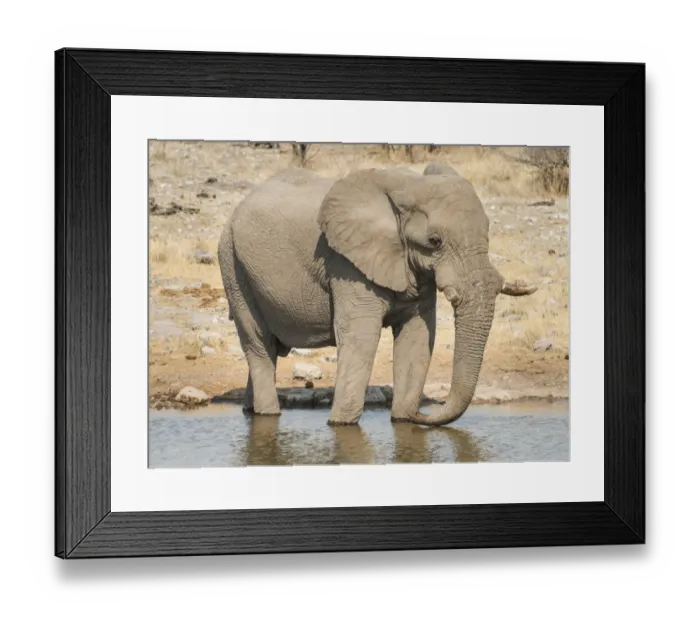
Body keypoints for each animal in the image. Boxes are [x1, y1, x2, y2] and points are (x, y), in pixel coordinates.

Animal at [218, 163, 536, 427]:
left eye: (488, 233)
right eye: (434, 241)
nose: (421, 415)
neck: (408, 186)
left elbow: (417, 336)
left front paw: (402, 419)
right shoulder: (346, 263)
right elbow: (361, 338)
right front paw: (340, 424)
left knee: (268, 350)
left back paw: (250, 411)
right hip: (233, 266)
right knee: (258, 342)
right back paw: (268, 413)